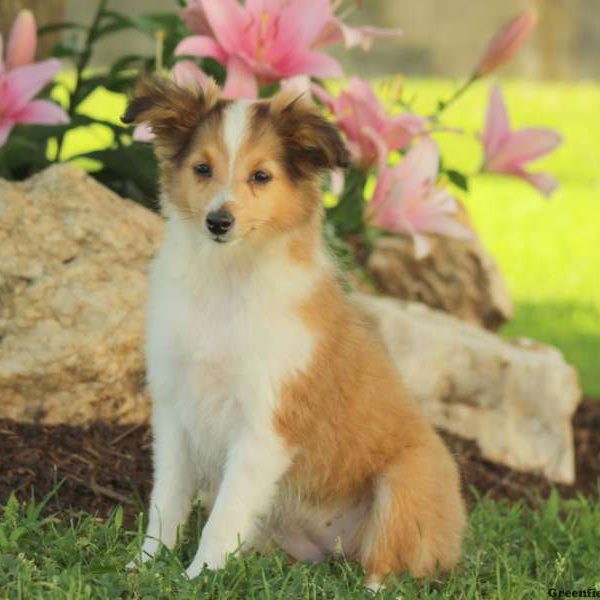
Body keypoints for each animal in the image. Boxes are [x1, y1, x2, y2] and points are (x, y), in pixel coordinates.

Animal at [122, 76, 466, 592]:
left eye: (261, 176)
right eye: (202, 168)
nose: (218, 222)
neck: (227, 281)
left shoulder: (266, 425)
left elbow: (222, 518)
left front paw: (197, 577)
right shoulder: (173, 409)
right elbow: (166, 503)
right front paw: (144, 567)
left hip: (407, 482)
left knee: (385, 569)